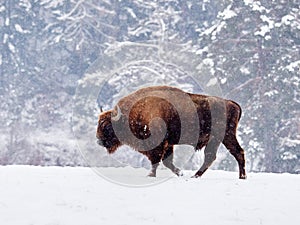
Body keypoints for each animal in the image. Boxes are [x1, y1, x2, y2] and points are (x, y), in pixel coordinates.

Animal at [96, 85, 246, 179]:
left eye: (106, 125)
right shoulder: (168, 144)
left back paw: (241, 177)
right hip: (216, 139)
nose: (98, 140)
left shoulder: (158, 144)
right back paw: (195, 176)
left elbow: (156, 161)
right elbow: (166, 162)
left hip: (225, 136)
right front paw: (180, 173)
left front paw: (151, 175)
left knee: (236, 152)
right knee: (212, 156)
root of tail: (230, 103)